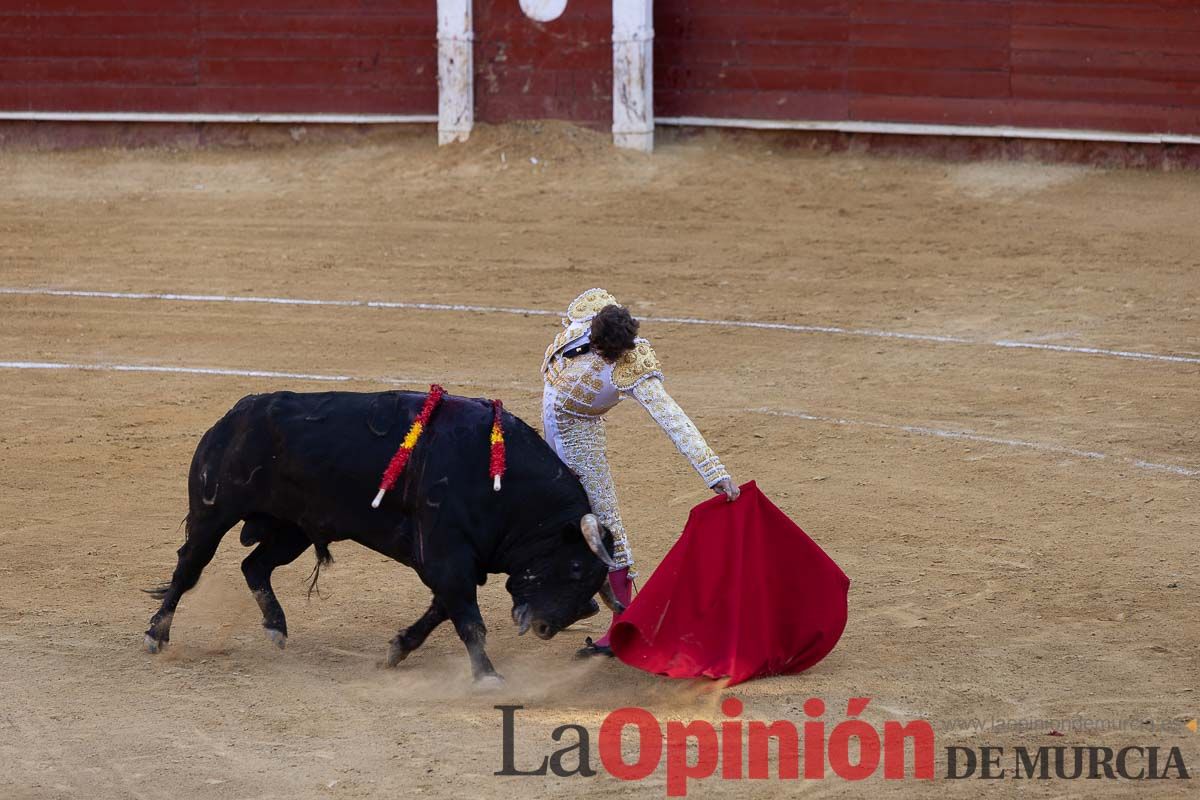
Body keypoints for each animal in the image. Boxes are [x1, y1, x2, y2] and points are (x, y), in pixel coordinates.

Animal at [142, 388, 619, 681]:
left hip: (293, 529)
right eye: (576, 568)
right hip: (213, 513)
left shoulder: (459, 564)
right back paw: (156, 635)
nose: (546, 627)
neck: (504, 485)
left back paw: (276, 628)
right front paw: (487, 676)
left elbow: (440, 612)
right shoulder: (446, 557)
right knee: (188, 568)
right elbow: (468, 619)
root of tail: (236, 414)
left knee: (254, 565)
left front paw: (396, 650)